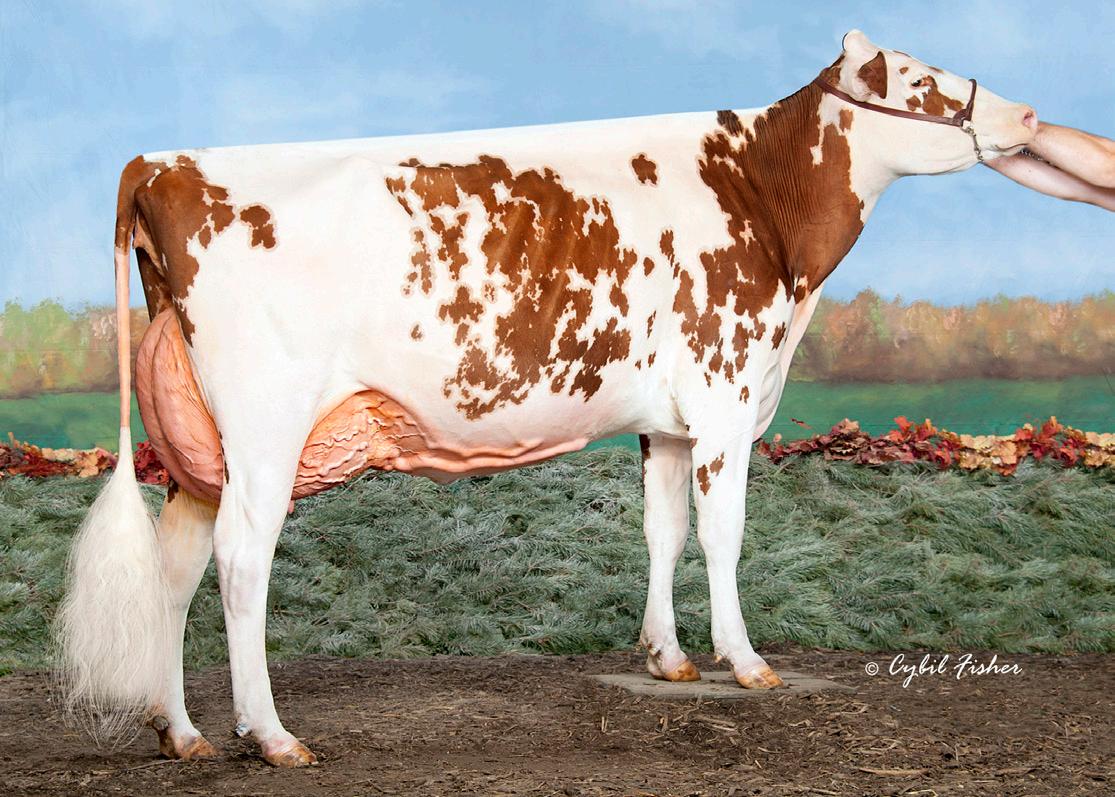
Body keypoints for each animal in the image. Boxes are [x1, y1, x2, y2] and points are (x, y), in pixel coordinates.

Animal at [56, 31, 1037, 767]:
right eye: (921, 79)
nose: (1027, 113)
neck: (765, 206)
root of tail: (161, 164)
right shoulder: (724, 395)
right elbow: (721, 533)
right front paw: (746, 660)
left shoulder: (667, 422)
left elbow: (662, 529)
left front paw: (668, 656)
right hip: (265, 425)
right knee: (239, 561)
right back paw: (269, 734)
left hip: (202, 446)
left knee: (175, 566)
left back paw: (180, 730)